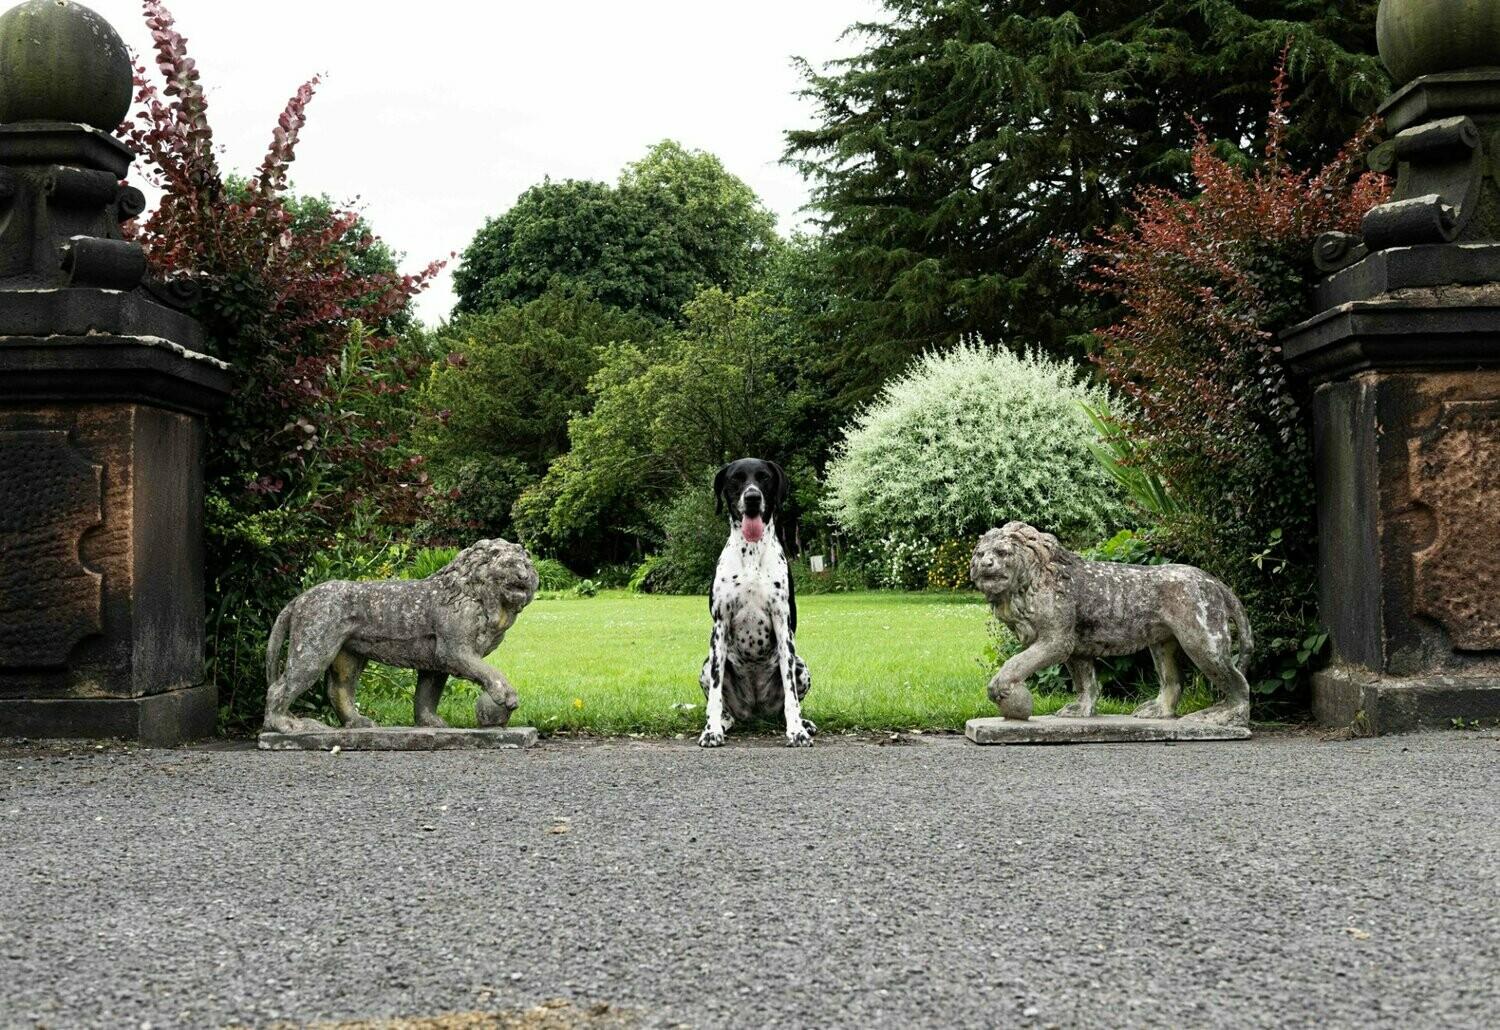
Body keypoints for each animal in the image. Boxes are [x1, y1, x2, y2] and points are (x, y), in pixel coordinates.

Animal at [696, 458, 816, 749]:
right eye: (736, 478)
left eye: (764, 477)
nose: (752, 497)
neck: (750, 554)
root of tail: (755, 712)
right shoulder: (719, 625)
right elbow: (715, 693)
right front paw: (711, 730)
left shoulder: (783, 624)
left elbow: (791, 693)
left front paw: (797, 731)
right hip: (705, 665)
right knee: (722, 703)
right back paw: (723, 722)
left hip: (802, 665)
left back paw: (802, 722)